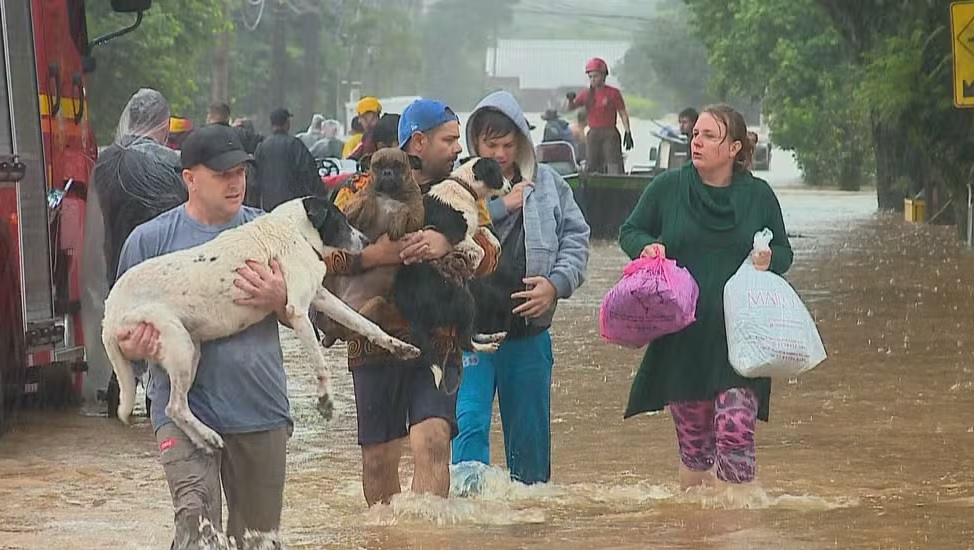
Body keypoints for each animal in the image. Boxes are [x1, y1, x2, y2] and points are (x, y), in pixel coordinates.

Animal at [322, 149, 426, 348]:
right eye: (377, 165)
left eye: (398, 165)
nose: (387, 173)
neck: (390, 195)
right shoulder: (347, 214)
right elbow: (367, 198)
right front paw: (370, 205)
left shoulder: (416, 221)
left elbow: (404, 209)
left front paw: (397, 221)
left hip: (375, 304)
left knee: (357, 327)